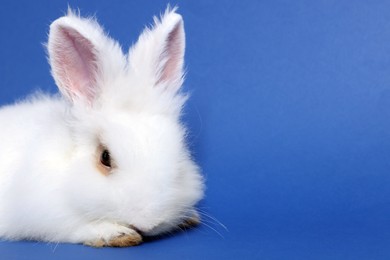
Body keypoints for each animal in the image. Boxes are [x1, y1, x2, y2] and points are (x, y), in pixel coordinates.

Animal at [0, 7, 206, 248]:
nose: (148, 223)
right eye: (105, 157)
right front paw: (117, 233)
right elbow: (77, 227)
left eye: (179, 155)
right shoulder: (46, 215)